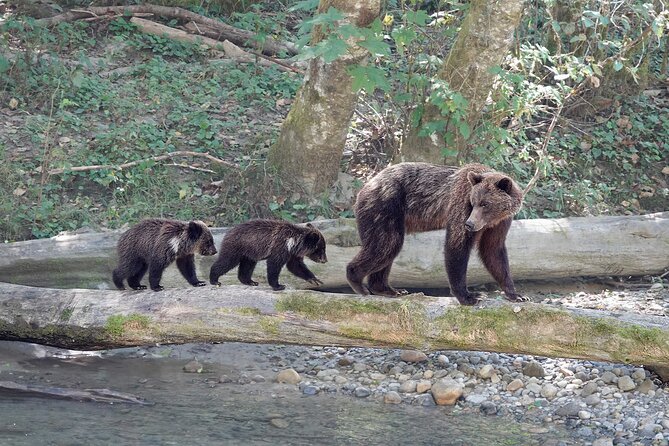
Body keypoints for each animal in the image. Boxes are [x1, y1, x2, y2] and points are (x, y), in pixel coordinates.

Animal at [344, 162, 528, 304]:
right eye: (473, 202)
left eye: (485, 204)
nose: (469, 224)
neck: (493, 218)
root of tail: (367, 184)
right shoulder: (460, 202)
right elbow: (457, 245)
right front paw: (469, 296)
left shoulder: (500, 222)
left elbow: (493, 250)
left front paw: (516, 294)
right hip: (385, 207)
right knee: (386, 244)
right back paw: (358, 283)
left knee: (386, 249)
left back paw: (388, 289)